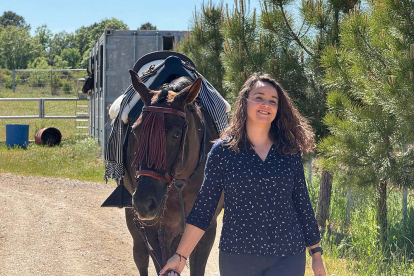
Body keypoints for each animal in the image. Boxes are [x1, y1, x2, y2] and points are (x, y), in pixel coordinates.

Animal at [121, 69, 223, 276]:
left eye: (175, 134)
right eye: (135, 131)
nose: (144, 203)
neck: (180, 182)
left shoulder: (207, 230)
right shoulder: (154, 230)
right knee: (140, 256)